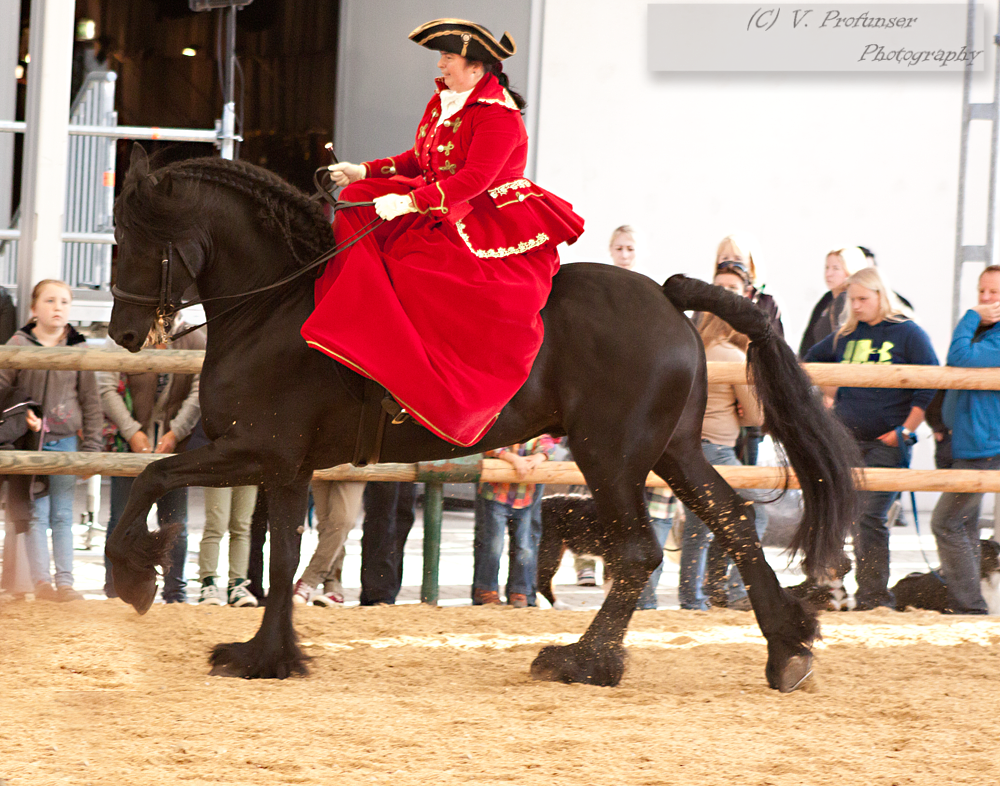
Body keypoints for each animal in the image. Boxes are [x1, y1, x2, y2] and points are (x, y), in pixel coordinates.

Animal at [109, 150, 860, 688]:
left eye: (124, 237)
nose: (120, 333)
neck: (276, 306)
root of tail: (669, 299)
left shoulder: (255, 451)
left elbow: (152, 475)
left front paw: (131, 577)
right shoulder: (287, 467)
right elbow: (288, 554)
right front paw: (267, 656)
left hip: (611, 454)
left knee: (639, 551)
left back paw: (583, 662)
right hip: (672, 450)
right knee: (732, 520)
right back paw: (787, 649)